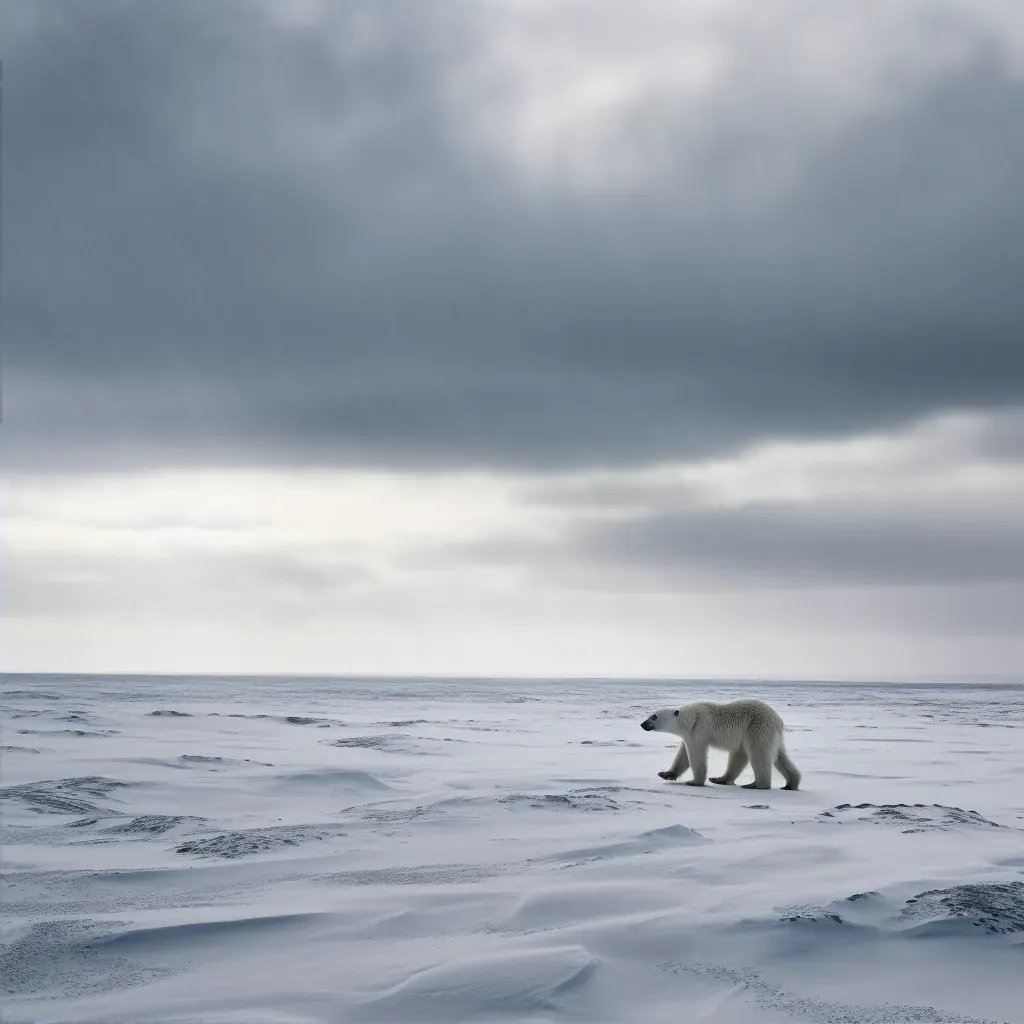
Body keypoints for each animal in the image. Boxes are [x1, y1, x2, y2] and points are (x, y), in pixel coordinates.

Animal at [638, 700, 798, 786]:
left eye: (654, 717)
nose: (642, 724)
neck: (690, 719)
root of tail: (778, 721)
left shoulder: (699, 730)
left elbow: (696, 755)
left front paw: (694, 781)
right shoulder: (688, 736)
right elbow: (682, 756)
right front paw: (665, 774)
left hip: (757, 728)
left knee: (759, 754)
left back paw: (755, 784)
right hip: (771, 736)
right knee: (779, 756)